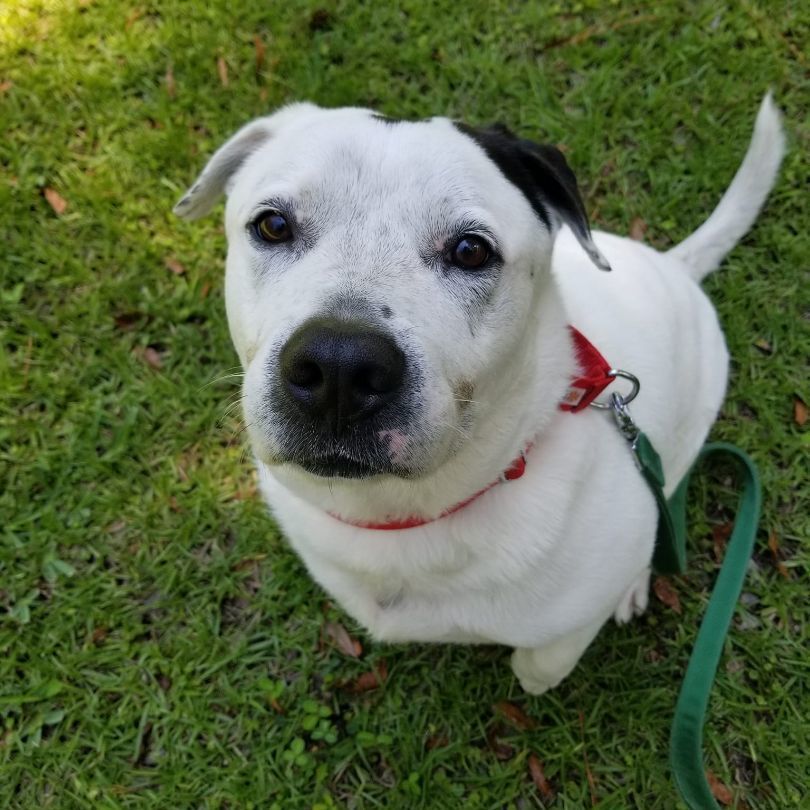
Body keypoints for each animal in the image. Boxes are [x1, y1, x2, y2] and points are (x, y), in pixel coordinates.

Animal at [175, 93, 784, 688]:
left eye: (471, 250)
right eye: (273, 225)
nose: (339, 368)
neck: (405, 516)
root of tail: (675, 266)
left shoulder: (576, 610)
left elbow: (539, 666)